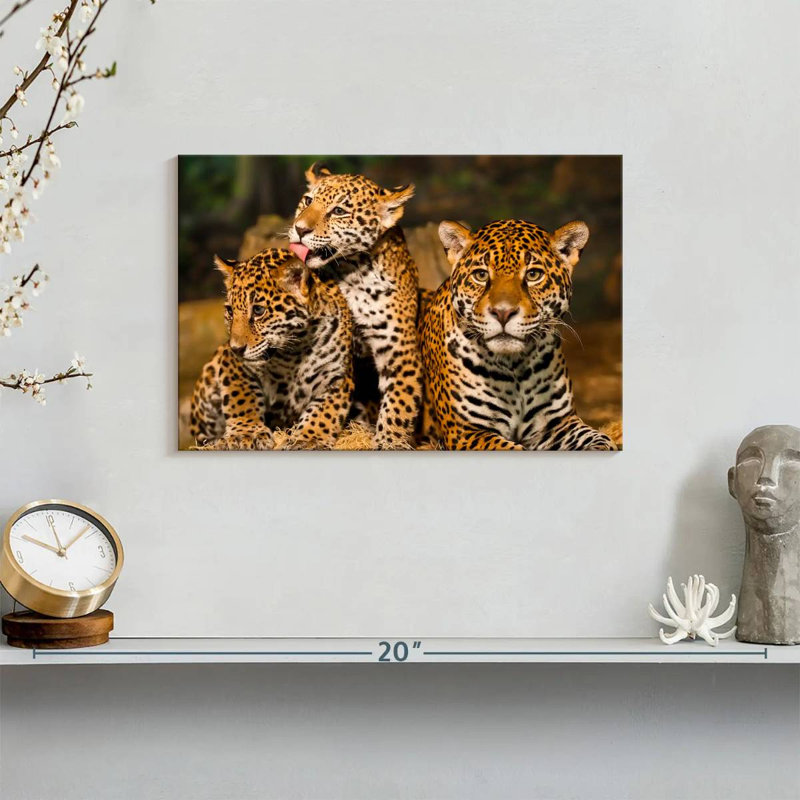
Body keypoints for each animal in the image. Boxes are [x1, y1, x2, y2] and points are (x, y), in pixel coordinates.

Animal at [190, 248, 354, 450]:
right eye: (230, 311)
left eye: (259, 311)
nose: (236, 348)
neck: (295, 350)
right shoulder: (233, 365)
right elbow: (242, 397)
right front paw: (245, 434)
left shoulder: (337, 376)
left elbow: (325, 412)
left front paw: (309, 438)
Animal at [287, 163, 422, 450]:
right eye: (308, 200)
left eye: (339, 211)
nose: (299, 229)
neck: (353, 273)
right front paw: (307, 437)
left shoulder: (400, 350)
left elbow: (399, 403)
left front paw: (390, 441)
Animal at [420, 218, 616, 451]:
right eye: (481, 275)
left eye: (533, 275)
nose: (503, 313)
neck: (514, 367)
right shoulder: (466, 432)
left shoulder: (558, 423)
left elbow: (599, 440)